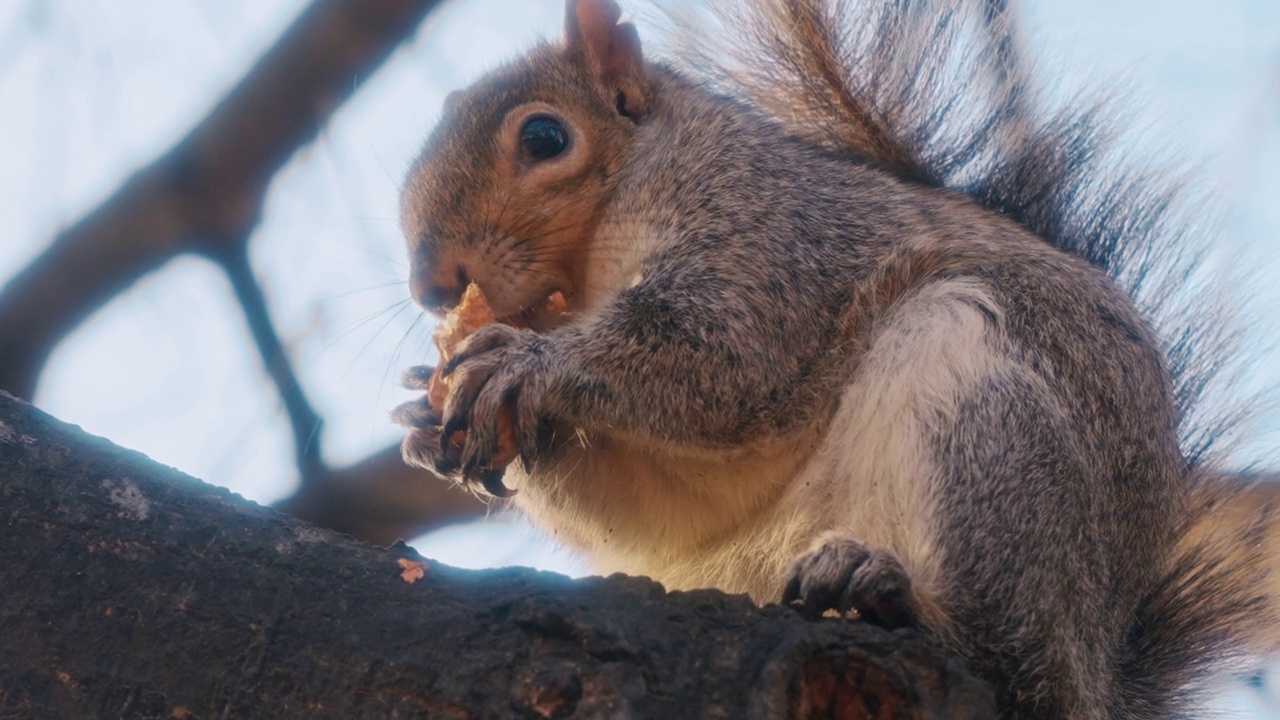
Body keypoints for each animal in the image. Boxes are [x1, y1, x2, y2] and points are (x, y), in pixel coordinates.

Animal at [394, 0, 1274, 712]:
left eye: (545, 137)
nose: (434, 286)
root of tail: (1100, 665)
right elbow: (644, 504)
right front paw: (424, 419)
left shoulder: (771, 232)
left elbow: (722, 350)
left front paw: (522, 365)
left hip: (992, 437)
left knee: (1013, 662)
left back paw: (896, 597)